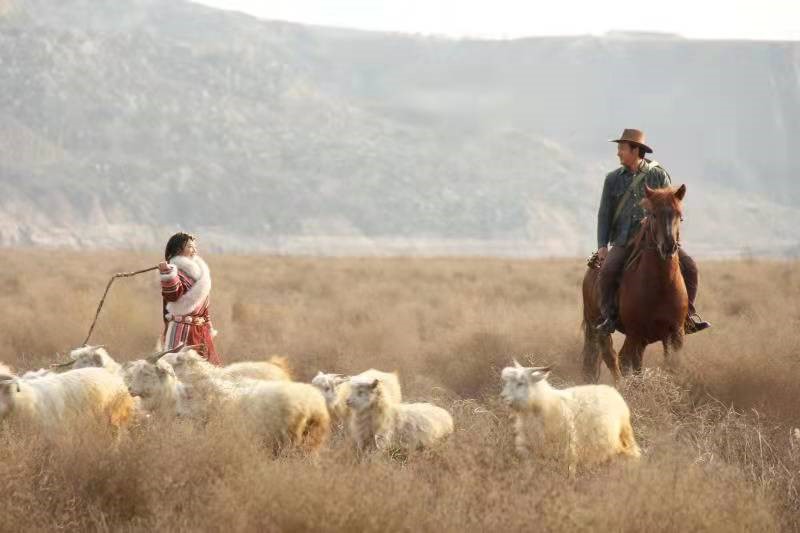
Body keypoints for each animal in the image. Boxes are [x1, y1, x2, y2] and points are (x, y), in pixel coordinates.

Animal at [500, 362, 636, 470]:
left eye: (520, 383)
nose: (502, 397)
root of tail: (612, 390)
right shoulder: (531, 450)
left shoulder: (566, 449)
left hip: (624, 435)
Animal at [580, 184, 688, 382]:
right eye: (653, 214)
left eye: (679, 214)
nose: (669, 246)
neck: (660, 287)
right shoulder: (636, 334)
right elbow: (631, 367)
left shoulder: (675, 335)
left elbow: (672, 368)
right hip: (599, 326)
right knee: (612, 357)